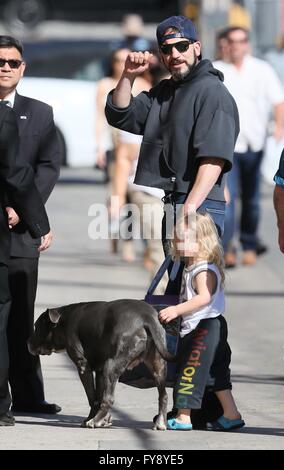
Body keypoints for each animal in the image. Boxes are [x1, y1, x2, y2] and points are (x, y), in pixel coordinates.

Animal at [29, 302, 175, 430]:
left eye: (36, 326)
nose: (27, 342)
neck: (63, 321)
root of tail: (147, 317)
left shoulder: (83, 367)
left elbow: (92, 397)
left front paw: (93, 420)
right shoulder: (99, 371)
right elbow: (98, 396)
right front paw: (103, 420)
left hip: (111, 366)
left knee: (109, 398)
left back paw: (95, 421)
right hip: (158, 366)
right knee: (163, 395)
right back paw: (161, 423)